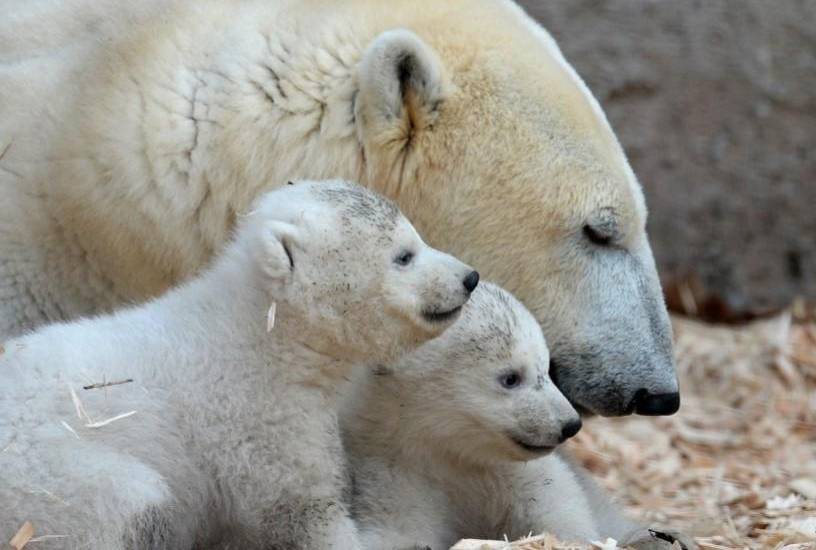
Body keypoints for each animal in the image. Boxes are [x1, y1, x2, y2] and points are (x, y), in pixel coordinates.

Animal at [0, 179, 478, 549]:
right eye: (404, 255)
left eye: (417, 237)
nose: (469, 277)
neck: (264, 330)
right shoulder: (258, 415)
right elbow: (303, 510)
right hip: (51, 473)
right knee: (134, 508)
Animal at [341, 282, 696, 550]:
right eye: (511, 377)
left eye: (546, 368)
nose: (570, 425)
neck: (450, 454)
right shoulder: (397, 469)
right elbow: (398, 529)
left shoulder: (515, 472)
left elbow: (561, 510)